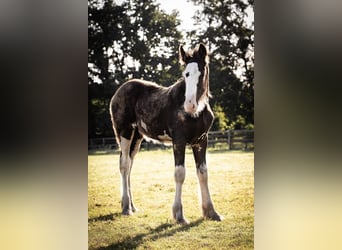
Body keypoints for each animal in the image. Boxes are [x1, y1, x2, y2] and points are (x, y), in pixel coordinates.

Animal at [109, 43, 222, 225]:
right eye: (186, 74)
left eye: (201, 72)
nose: (190, 105)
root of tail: (118, 92)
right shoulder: (179, 140)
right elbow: (180, 174)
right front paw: (179, 215)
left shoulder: (201, 140)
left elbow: (203, 173)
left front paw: (211, 212)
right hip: (125, 131)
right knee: (124, 164)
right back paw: (126, 208)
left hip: (137, 137)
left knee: (130, 165)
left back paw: (132, 206)